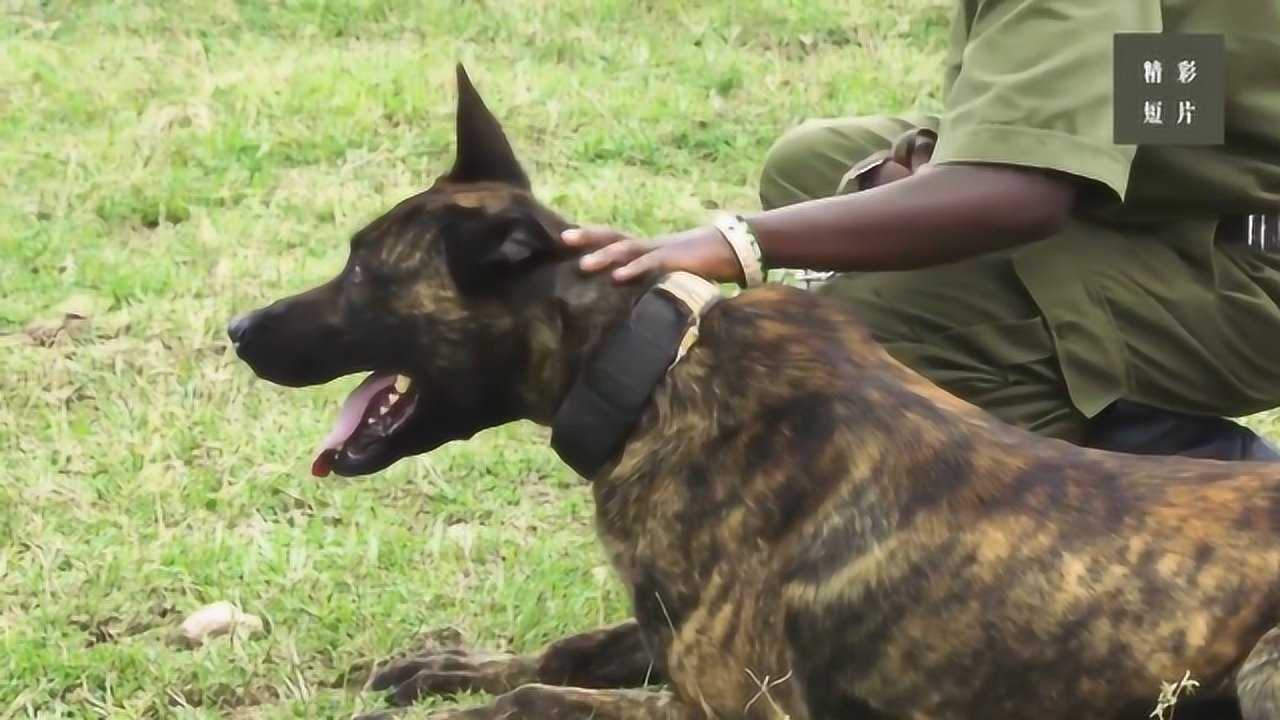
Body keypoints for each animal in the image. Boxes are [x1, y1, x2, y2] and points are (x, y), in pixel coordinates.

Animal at [227, 67, 1280, 717]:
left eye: (365, 273)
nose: (236, 330)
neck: (652, 377)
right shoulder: (668, 635)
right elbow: (568, 651)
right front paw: (449, 664)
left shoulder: (734, 702)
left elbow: (534, 698)